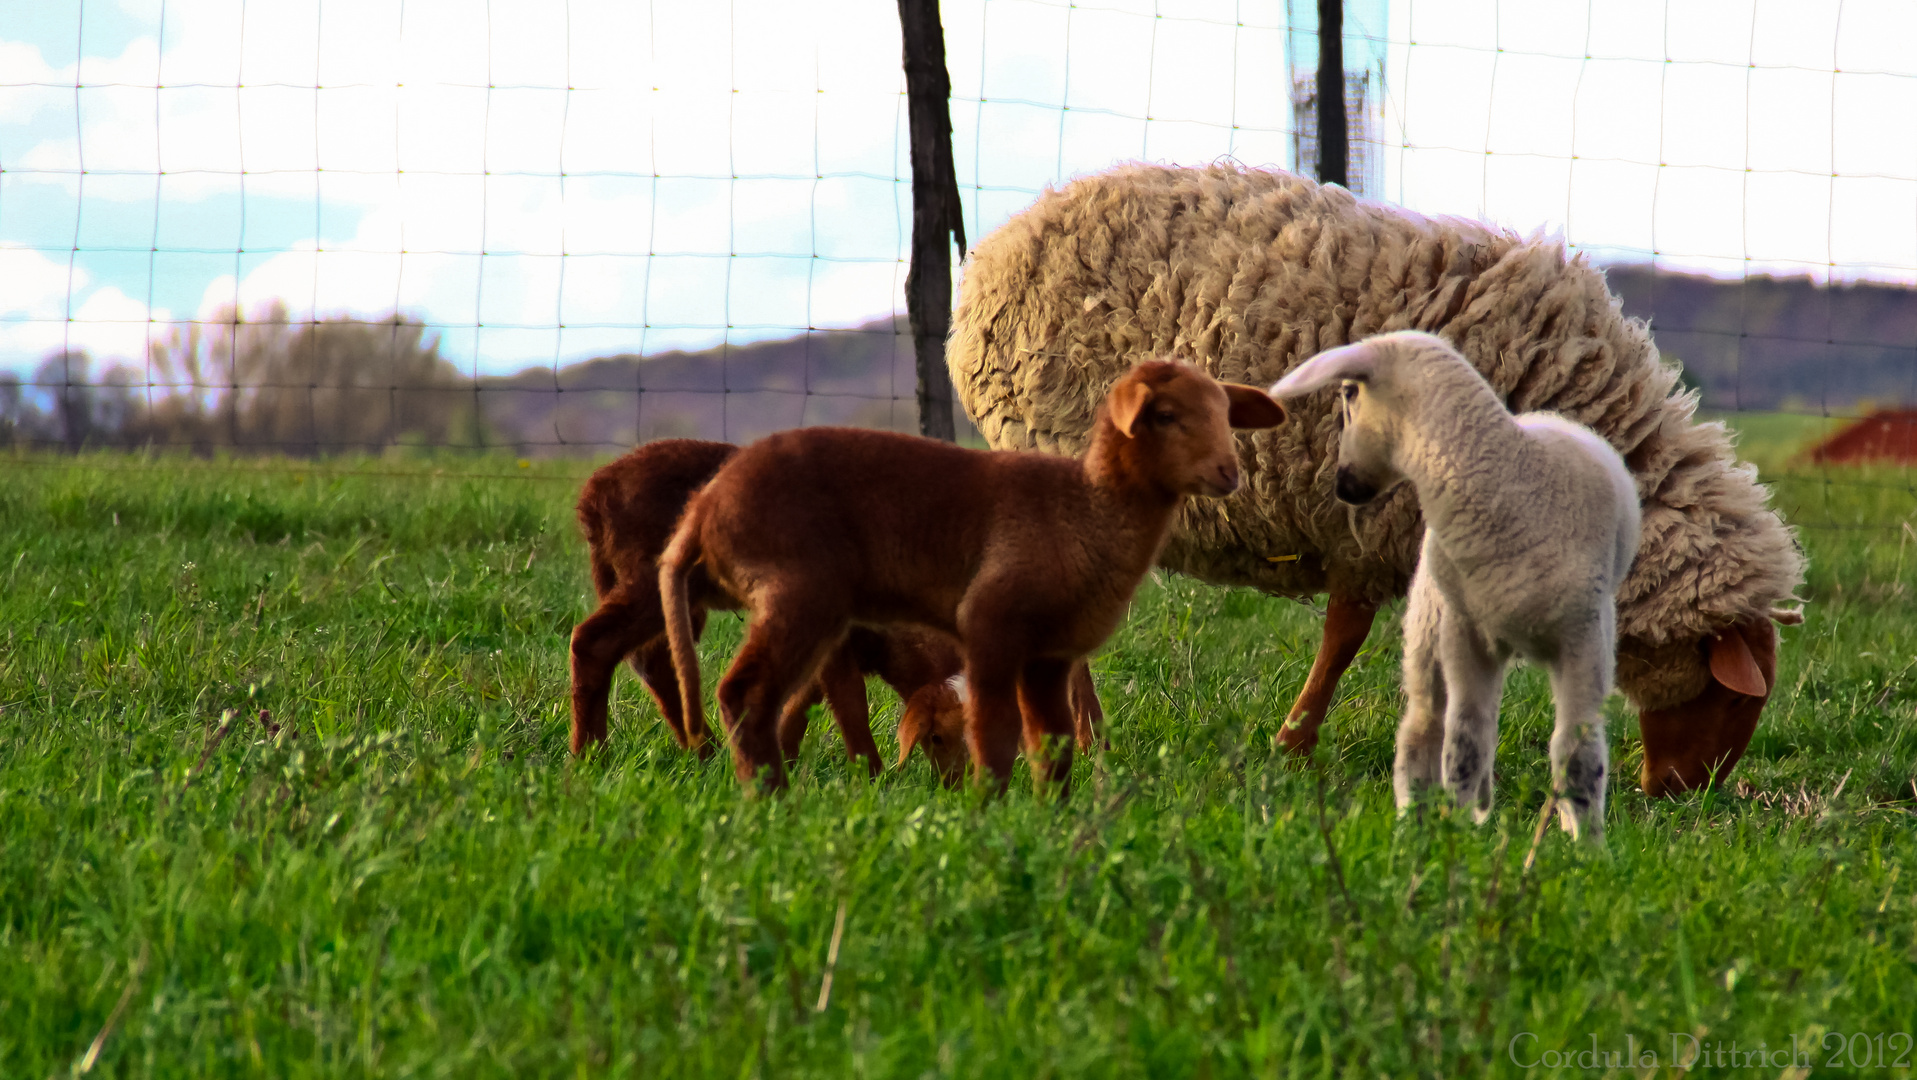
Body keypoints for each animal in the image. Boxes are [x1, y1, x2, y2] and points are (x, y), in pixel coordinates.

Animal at [659, 362, 1288, 794]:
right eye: (1166, 415)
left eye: (1226, 415)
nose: (1229, 473)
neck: (1090, 508)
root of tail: (703, 509)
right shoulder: (990, 626)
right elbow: (995, 735)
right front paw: (988, 813)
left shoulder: (1048, 655)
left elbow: (1052, 743)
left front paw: (1052, 818)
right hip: (799, 592)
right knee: (744, 694)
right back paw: (771, 801)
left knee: (768, 701)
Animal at [1280, 331, 1640, 844]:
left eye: (1349, 392)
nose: (1343, 487)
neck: (1510, 482)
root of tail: (1544, 418)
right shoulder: (1465, 633)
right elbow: (1466, 741)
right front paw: (1457, 833)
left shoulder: (1585, 638)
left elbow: (1577, 753)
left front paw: (1589, 847)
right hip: (1429, 625)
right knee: (1425, 726)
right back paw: (1414, 821)